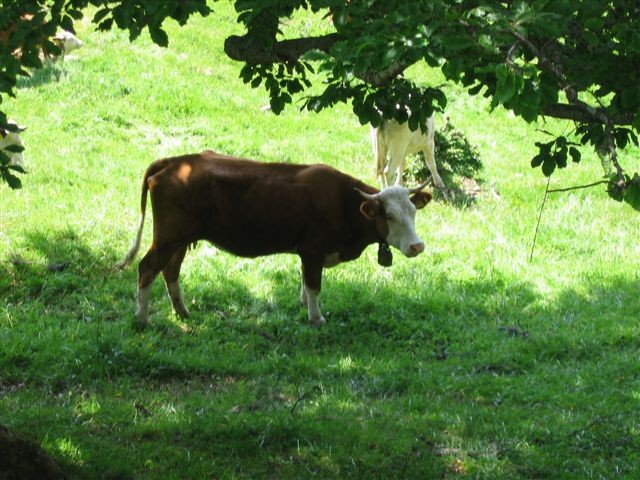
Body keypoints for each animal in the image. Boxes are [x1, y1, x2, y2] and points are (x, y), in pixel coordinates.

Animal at [117, 152, 432, 328]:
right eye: (389, 215)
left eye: (413, 211)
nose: (417, 246)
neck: (344, 203)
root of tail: (176, 161)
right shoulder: (313, 249)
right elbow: (314, 285)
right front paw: (316, 318)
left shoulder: (307, 254)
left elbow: (305, 281)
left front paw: (304, 306)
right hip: (168, 237)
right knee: (147, 268)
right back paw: (142, 318)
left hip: (180, 240)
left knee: (170, 271)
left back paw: (182, 312)